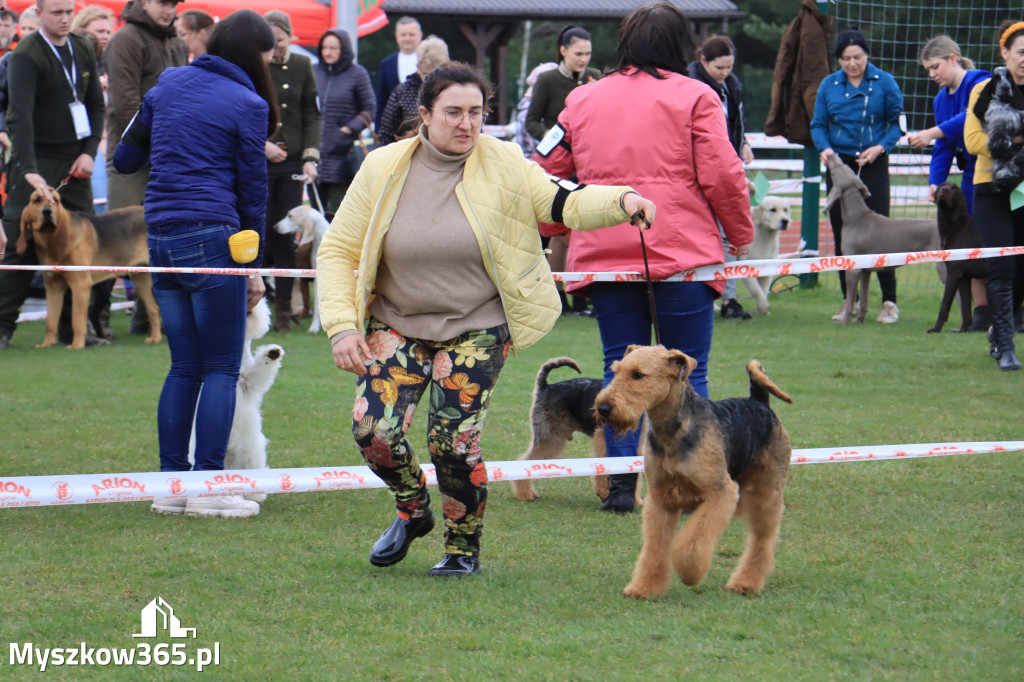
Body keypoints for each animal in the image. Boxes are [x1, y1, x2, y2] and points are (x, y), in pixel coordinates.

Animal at [933, 180, 987, 331]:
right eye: (943, 185)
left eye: (954, 188)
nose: (944, 190)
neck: (954, 225)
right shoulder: (964, 277)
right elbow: (966, 308)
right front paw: (963, 330)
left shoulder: (954, 273)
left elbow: (944, 305)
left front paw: (936, 329)